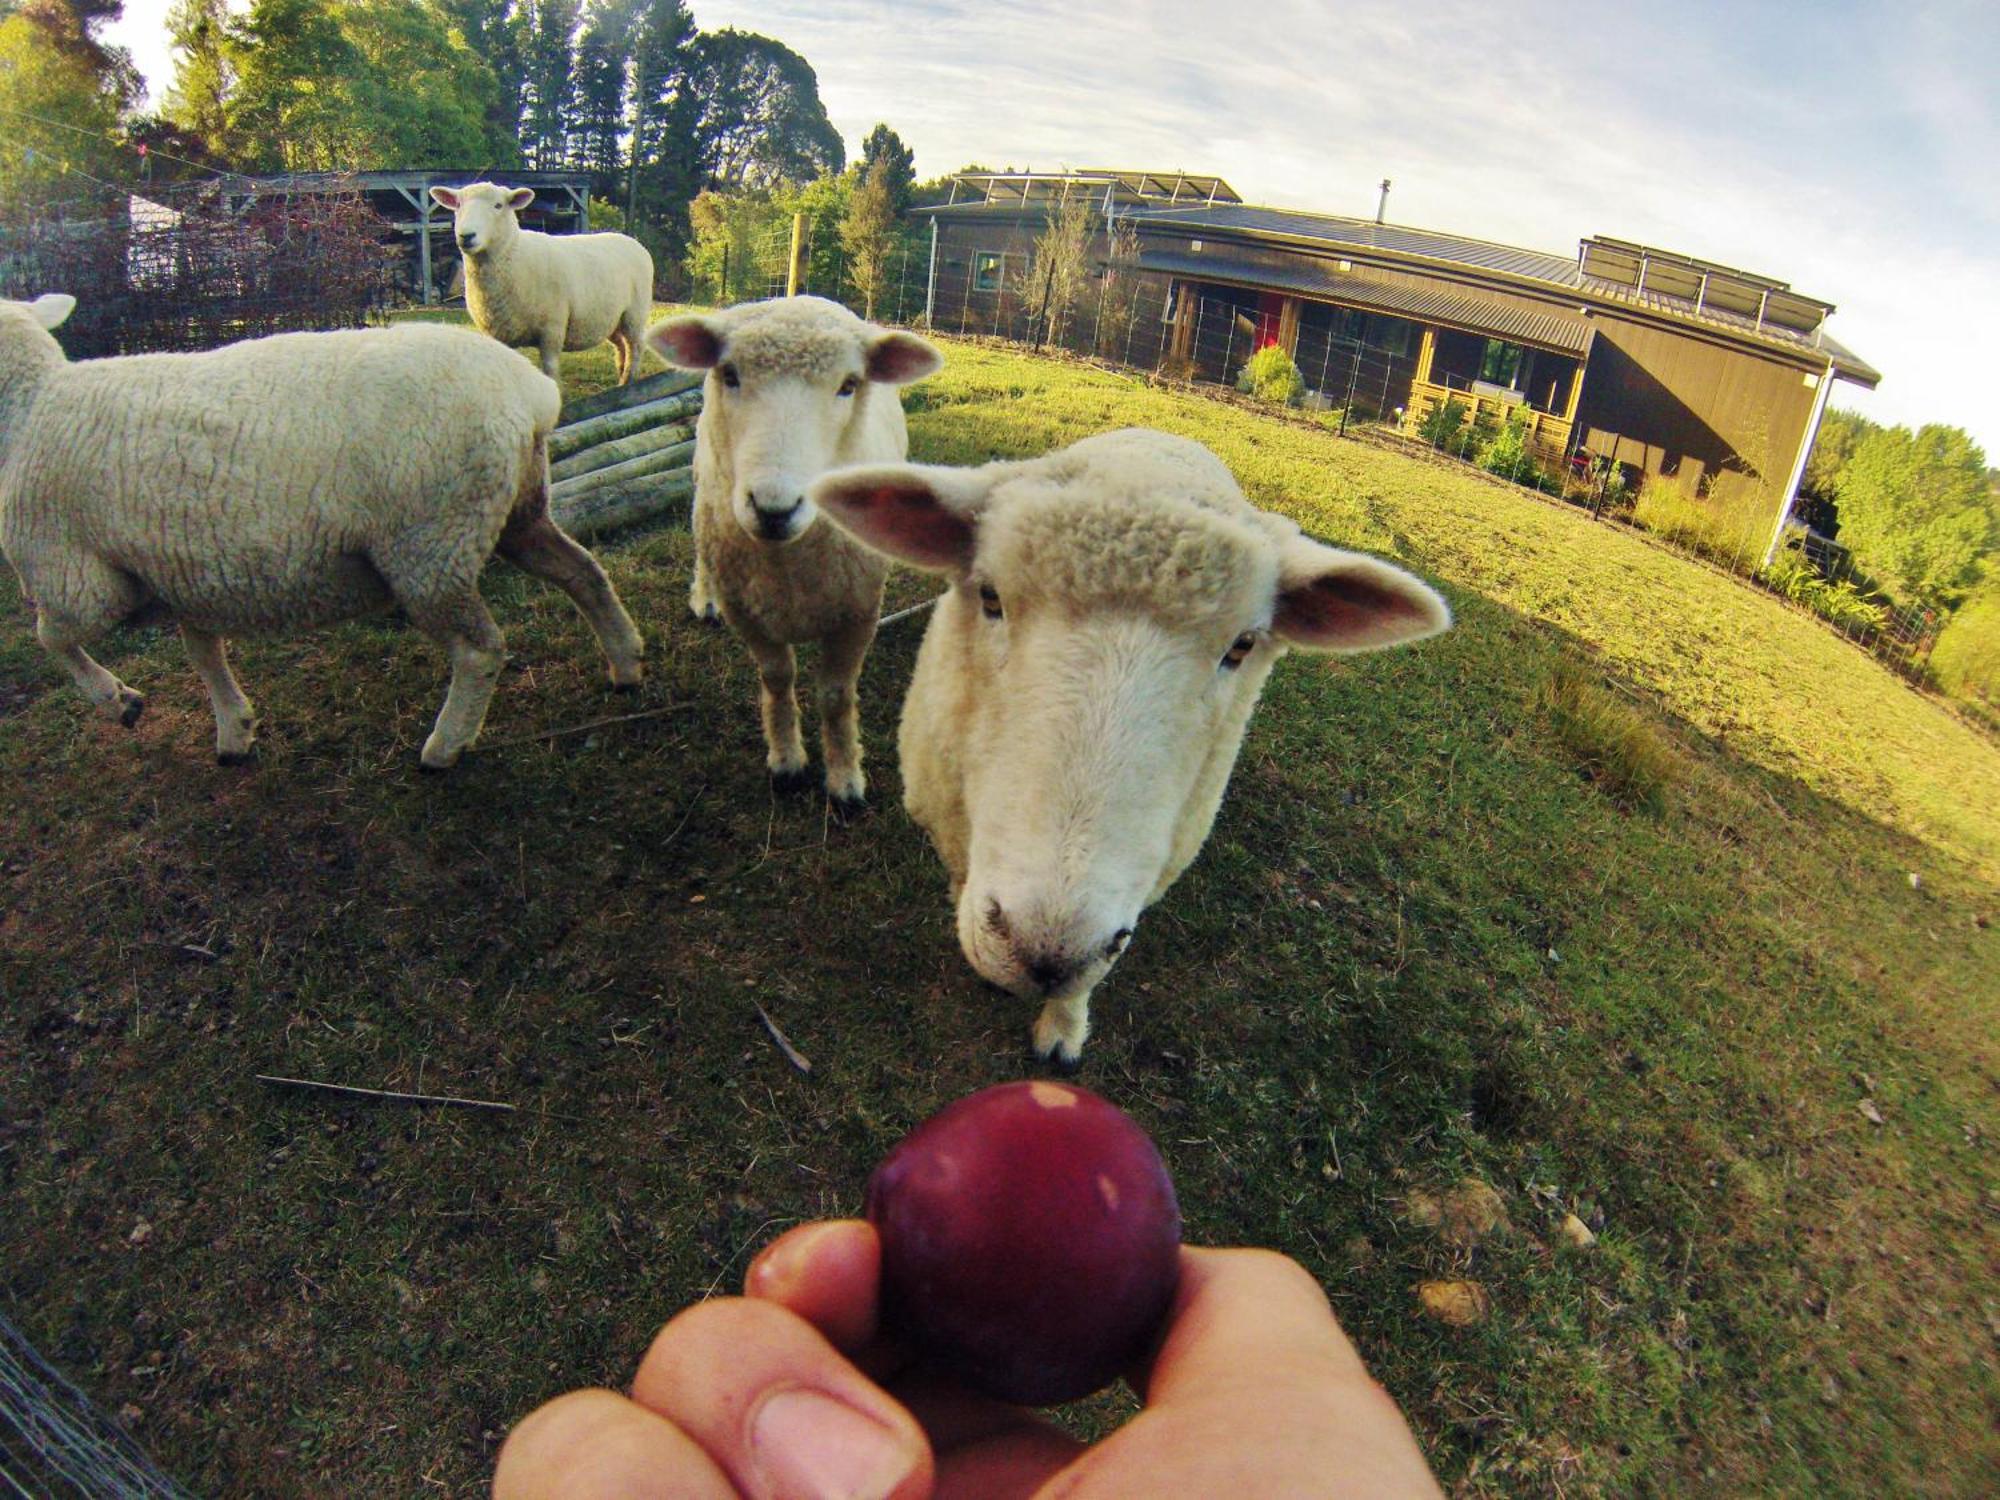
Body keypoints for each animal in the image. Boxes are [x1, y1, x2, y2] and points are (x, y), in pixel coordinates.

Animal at [0, 292, 640, 768]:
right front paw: (234, 728)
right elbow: (202, 651)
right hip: (514, 512)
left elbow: (52, 639)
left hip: (429, 543)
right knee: (584, 574)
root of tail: (531, 393)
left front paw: (120, 702)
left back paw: (445, 745)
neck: (30, 406)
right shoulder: (181, 569)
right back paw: (626, 664)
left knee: (481, 650)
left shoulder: (77, 579)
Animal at [434, 184, 660, 388]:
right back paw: (621, 381)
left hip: (635, 313)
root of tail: (632, 241)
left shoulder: (552, 329)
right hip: (612, 318)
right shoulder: (499, 333)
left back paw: (629, 380)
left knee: (635, 346)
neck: (515, 255)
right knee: (621, 345)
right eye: (458, 205)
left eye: (498, 205)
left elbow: (550, 370)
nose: (466, 236)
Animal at [648, 292, 944, 812]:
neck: (786, 565)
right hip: (704, 481)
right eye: (730, 374)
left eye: (849, 385)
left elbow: (835, 696)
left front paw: (844, 779)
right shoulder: (747, 610)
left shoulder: (858, 612)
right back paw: (703, 596)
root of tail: (800, 297)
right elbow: (777, 678)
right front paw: (787, 760)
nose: (774, 509)